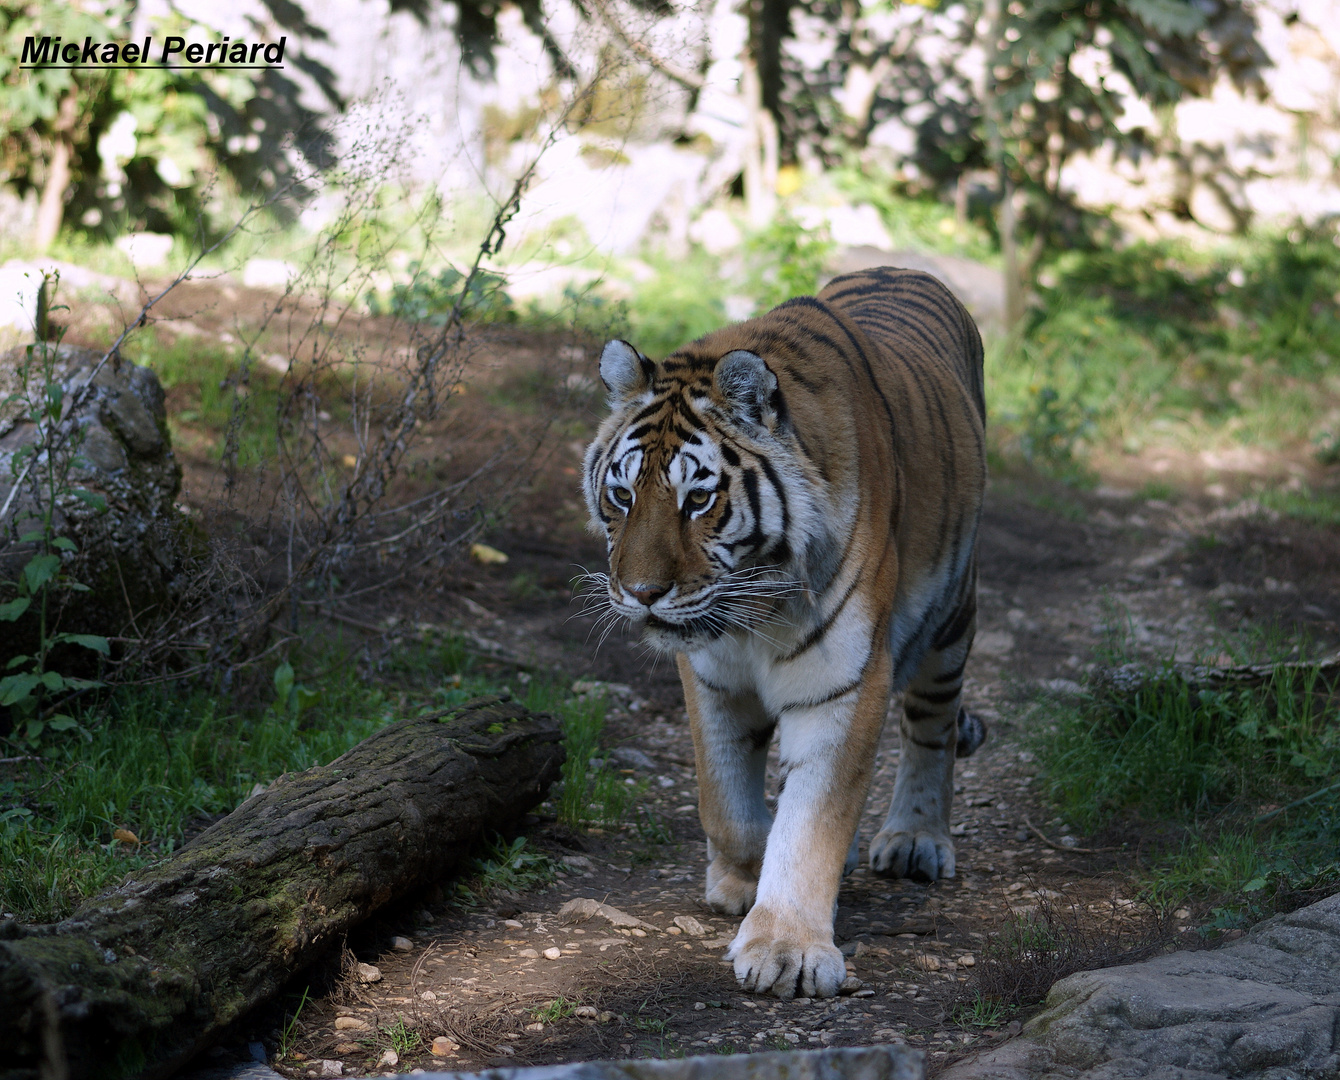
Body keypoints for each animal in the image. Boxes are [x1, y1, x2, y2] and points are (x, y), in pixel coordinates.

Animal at [581, 266, 991, 1002]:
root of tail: (903, 267)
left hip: (952, 617)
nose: (642, 594)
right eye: (623, 496)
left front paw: (786, 949)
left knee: (931, 726)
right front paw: (740, 881)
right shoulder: (710, 675)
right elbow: (728, 802)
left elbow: (812, 822)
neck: (754, 607)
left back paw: (916, 837)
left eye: (698, 499)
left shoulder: (845, 682)